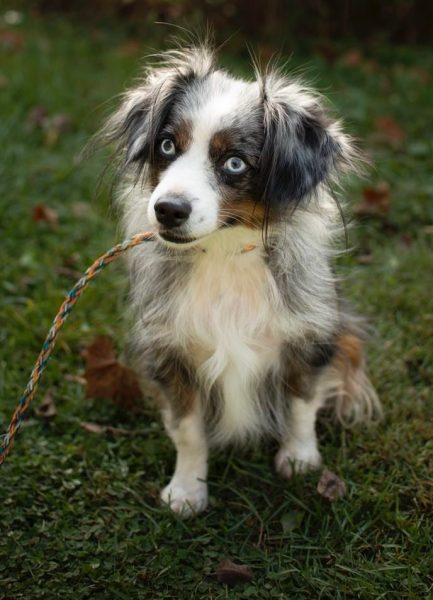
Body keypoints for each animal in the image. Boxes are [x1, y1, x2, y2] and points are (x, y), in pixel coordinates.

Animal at [99, 45, 380, 516]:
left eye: (234, 163)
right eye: (167, 145)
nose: (168, 210)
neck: (224, 251)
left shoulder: (307, 333)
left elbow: (302, 401)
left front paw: (300, 458)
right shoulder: (171, 350)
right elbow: (188, 428)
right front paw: (187, 489)